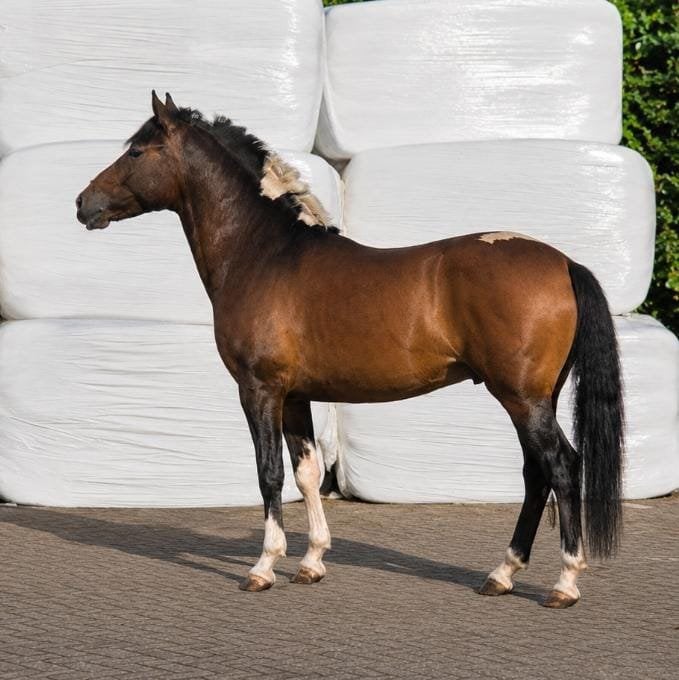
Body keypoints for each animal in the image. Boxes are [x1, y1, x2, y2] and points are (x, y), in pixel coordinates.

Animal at [76, 92, 623, 608]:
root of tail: (564, 262)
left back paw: (564, 583)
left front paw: (264, 567)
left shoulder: (259, 390)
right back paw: (502, 574)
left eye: (137, 151)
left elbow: (269, 474)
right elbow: (307, 474)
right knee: (536, 474)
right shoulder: (295, 396)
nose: (84, 203)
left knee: (561, 467)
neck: (264, 254)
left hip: (522, 398)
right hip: (533, 399)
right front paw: (311, 562)